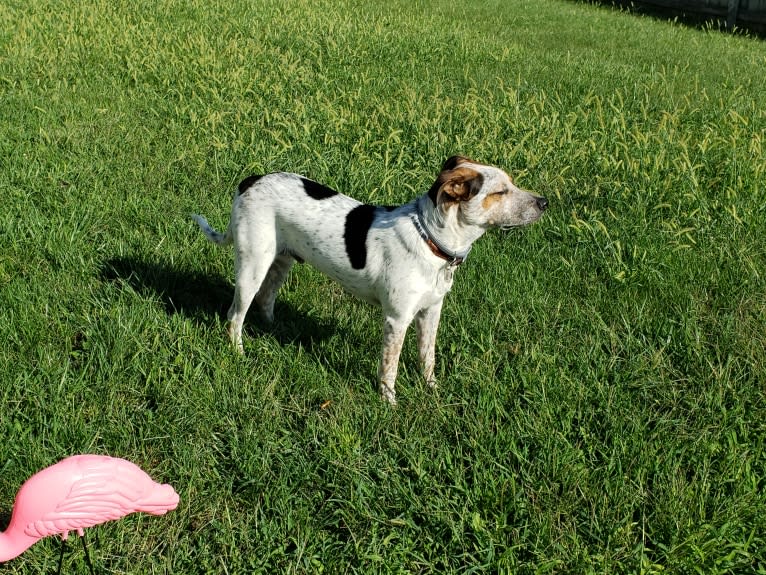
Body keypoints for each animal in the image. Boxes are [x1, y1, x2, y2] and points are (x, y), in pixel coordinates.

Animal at [195, 155, 548, 402]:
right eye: (500, 191)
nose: (544, 202)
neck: (431, 239)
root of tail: (250, 181)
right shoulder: (397, 319)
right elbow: (389, 368)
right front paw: (389, 403)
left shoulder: (431, 312)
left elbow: (428, 357)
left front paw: (432, 390)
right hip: (252, 265)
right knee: (234, 315)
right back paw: (239, 353)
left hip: (281, 261)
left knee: (266, 298)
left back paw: (274, 331)